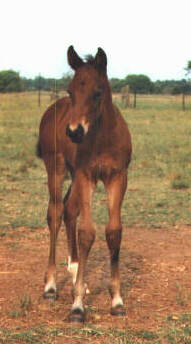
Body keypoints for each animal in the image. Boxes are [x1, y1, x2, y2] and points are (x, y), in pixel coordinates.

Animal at [38, 46, 132, 322]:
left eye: (97, 92)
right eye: (71, 91)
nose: (74, 132)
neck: (103, 137)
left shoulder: (117, 177)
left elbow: (114, 231)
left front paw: (117, 300)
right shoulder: (86, 175)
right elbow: (87, 232)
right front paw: (77, 305)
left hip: (72, 174)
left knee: (69, 210)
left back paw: (74, 270)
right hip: (56, 168)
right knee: (56, 213)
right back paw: (51, 286)